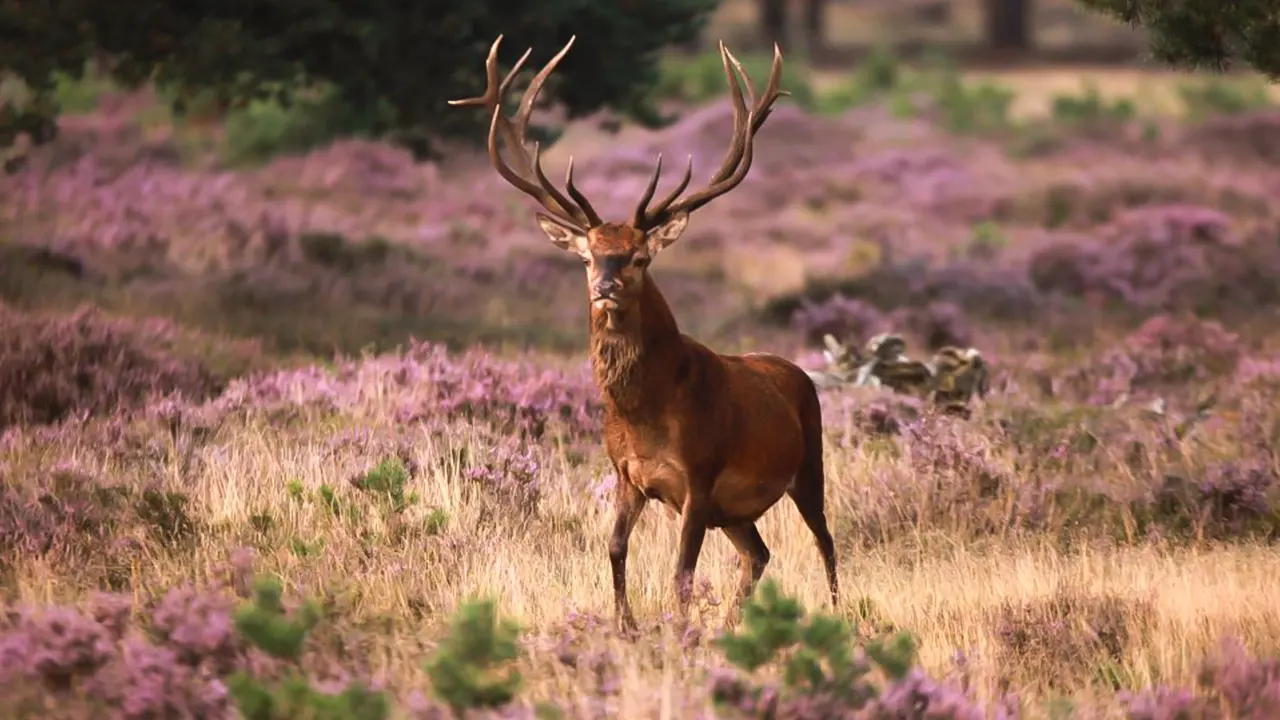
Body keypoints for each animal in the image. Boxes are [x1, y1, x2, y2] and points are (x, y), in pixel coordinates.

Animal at [450, 35, 839, 627]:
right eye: (588, 255)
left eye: (638, 257)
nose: (605, 286)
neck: (646, 414)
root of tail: (796, 371)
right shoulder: (627, 475)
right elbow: (614, 548)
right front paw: (625, 625)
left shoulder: (699, 477)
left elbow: (681, 573)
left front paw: (677, 631)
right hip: (736, 510)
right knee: (759, 553)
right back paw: (732, 624)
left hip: (808, 464)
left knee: (826, 543)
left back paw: (841, 617)